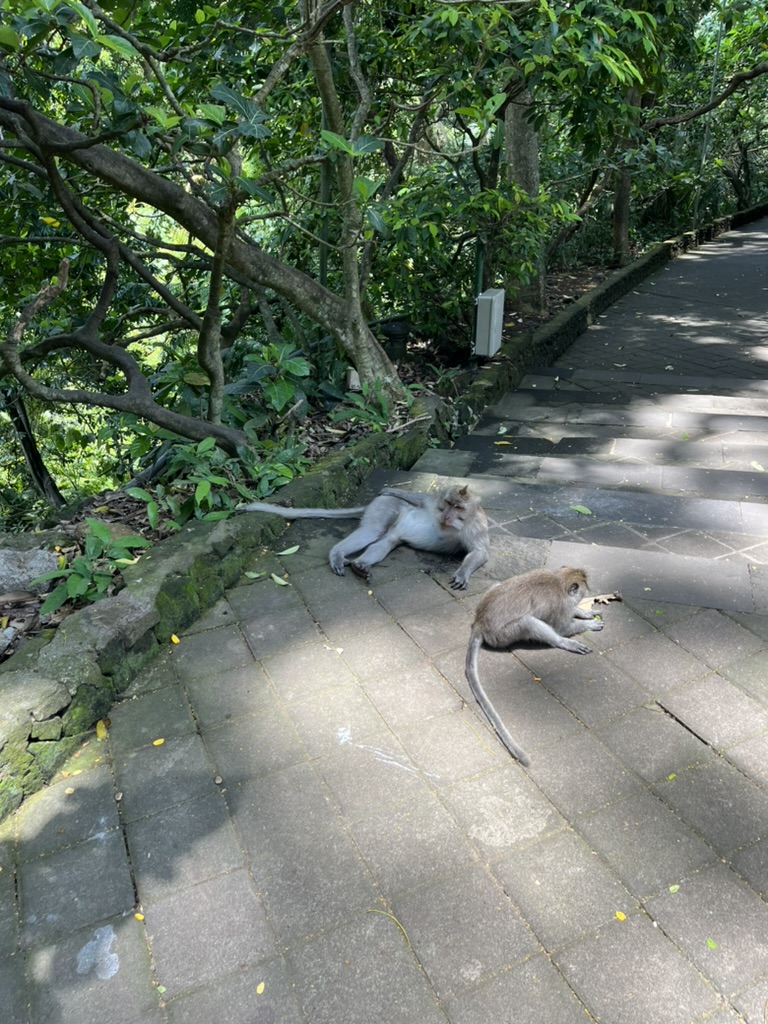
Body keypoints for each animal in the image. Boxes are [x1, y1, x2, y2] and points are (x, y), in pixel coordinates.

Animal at [243, 483, 489, 589]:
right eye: (448, 503)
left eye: (458, 507)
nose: (446, 515)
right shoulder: (432, 503)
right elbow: (420, 498)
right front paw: (391, 489)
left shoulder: (476, 526)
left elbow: (479, 551)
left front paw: (462, 573)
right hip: (386, 506)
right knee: (372, 531)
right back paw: (337, 553)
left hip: (394, 524)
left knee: (385, 541)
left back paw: (360, 565)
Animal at [462, 565, 606, 765]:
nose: (585, 597)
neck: (558, 581)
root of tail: (479, 622)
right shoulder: (560, 605)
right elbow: (562, 627)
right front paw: (587, 624)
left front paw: (584, 613)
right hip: (504, 635)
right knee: (528, 622)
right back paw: (563, 642)